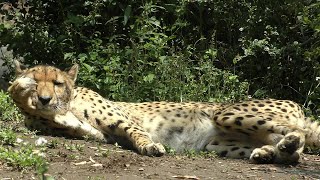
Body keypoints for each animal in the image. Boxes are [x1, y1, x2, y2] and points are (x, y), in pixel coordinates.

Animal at [7, 60, 320, 163]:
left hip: (225, 115)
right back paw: (270, 152)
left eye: (57, 83)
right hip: (221, 144)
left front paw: (150, 146)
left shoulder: (122, 121)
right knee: (293, 154)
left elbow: (135, 131)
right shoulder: (91, 132)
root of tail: (296, 104)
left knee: (300, 133)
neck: (68, 103)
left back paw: (288, 142)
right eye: (38, 82)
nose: (45, 99)